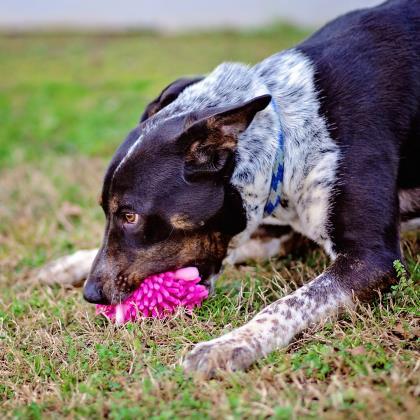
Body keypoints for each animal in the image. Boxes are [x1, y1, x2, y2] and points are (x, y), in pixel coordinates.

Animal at [37, 0, 418, 374]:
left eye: (131, 216)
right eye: (106, 210)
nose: (91, 294)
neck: (286, 130)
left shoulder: (372, 258)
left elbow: (287, 304)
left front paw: (228, 345)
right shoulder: (280, 230)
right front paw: (70, 263)